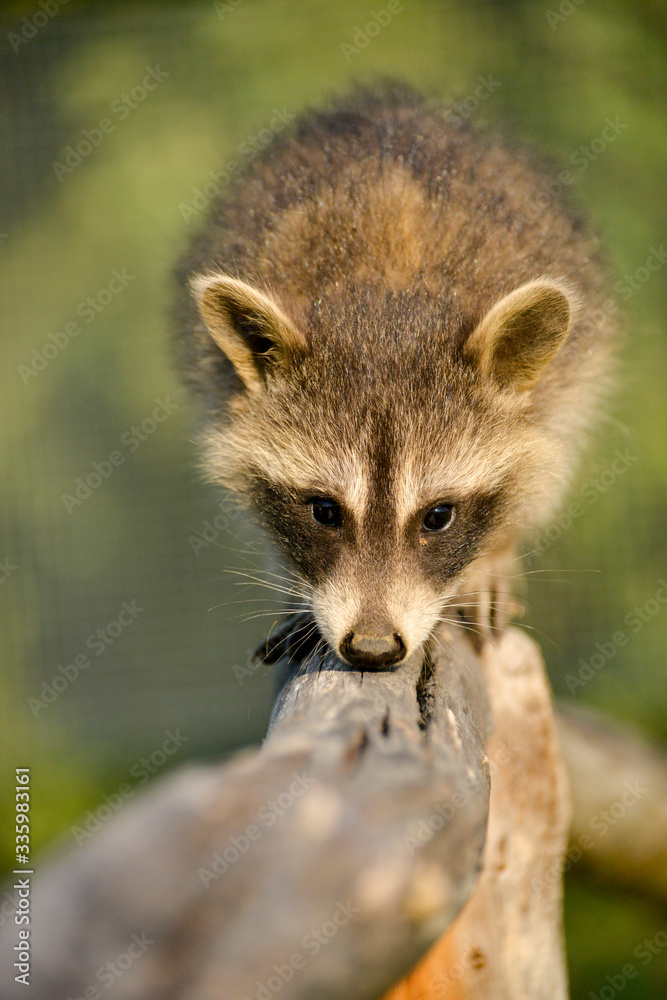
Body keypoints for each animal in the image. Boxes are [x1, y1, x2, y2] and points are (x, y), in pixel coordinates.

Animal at [172, 84, 616, 672]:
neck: (387, 296)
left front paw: (489, 559)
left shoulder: (565, 386)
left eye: (438, 516)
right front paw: (299, 588)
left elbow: (539, 473)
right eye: (324, 511)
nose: (373, 648)